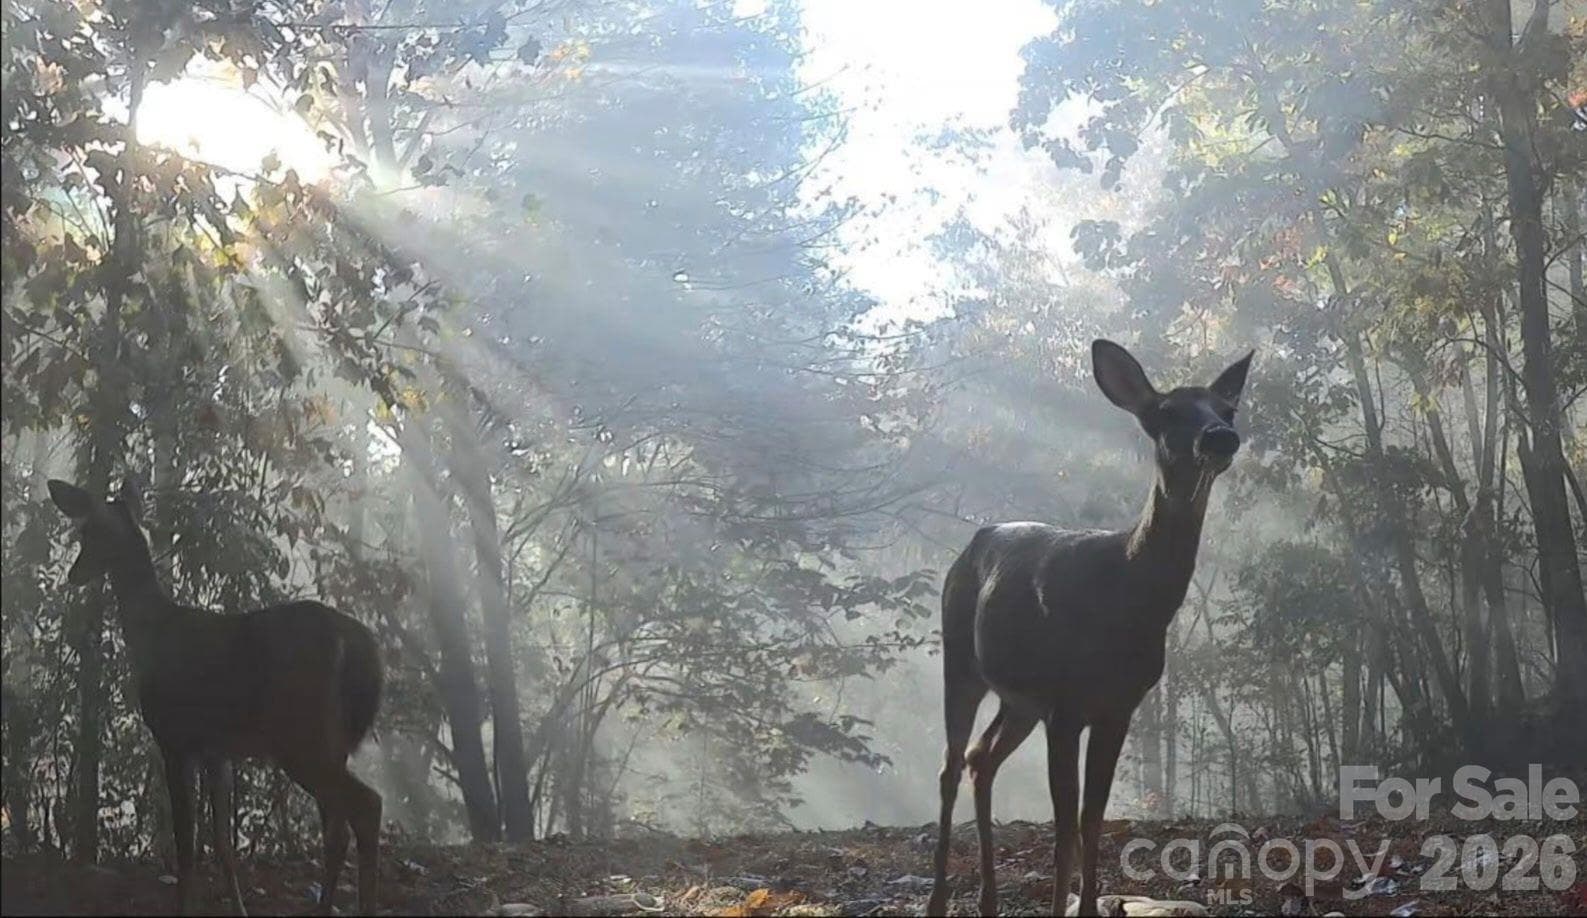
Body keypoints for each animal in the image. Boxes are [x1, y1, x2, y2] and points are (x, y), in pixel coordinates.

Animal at [48, 478, 384, 916]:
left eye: (91, 532)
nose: (75, 573)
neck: (151, 635)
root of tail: (356, 643)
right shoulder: (217, 751)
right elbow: (223, 843)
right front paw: (239, 909)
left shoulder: (175, 738)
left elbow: (187, 845)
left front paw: (183, 907)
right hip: (332, 741)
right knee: (338, 826)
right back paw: (325, 907)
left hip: (300, 735)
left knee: (367, 805)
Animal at [924, 339, 1253, 917]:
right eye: (1167, 412)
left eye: (1226, 408)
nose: (1220, 436)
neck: (1127, 599)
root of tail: (973, 543)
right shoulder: (1067, 706)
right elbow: (1065, 828)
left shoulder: (1117, 706)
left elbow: (1093, 818)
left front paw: (1090, 905)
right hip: (961, 658)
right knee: (950, 764)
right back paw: (938, 901)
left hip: (1020, 699)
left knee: (981, 757)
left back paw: (988, 899)